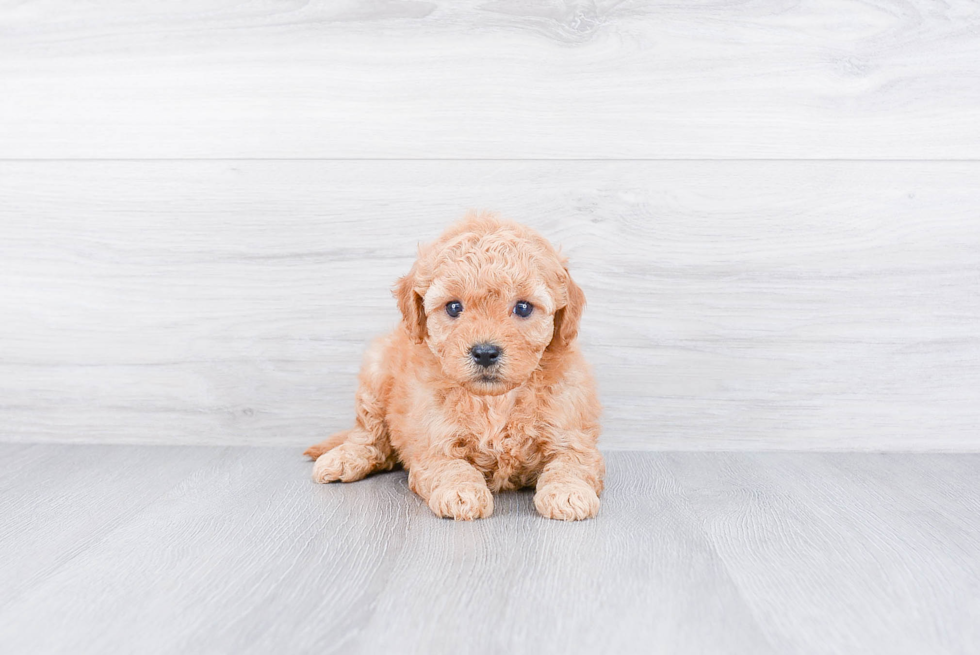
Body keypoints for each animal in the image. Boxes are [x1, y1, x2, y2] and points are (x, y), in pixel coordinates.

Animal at [302, 215, 604, 524]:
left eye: (522, 307)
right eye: (454, 307)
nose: (485, 352)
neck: (494, 401)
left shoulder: (571, 431)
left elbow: (571, 462)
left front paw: (568, 492)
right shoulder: (432, 440)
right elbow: (451, 467)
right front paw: (461, 492)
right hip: (376, 373)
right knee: (369, 434)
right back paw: (343, 458)